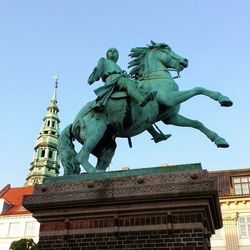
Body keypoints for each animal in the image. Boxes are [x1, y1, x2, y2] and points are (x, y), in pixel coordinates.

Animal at [57, 41, 232, 174]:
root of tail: (74, 122)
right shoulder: (170, 99)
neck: (156, 78)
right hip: (95, 133)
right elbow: (198, 89)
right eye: (167, 49)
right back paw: (95, 173)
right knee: (81, 156)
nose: (185, 61)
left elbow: (197, 123)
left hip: (106, 145)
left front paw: (219, 140)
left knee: (99, 159)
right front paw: (223, 99)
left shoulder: (171, 117)